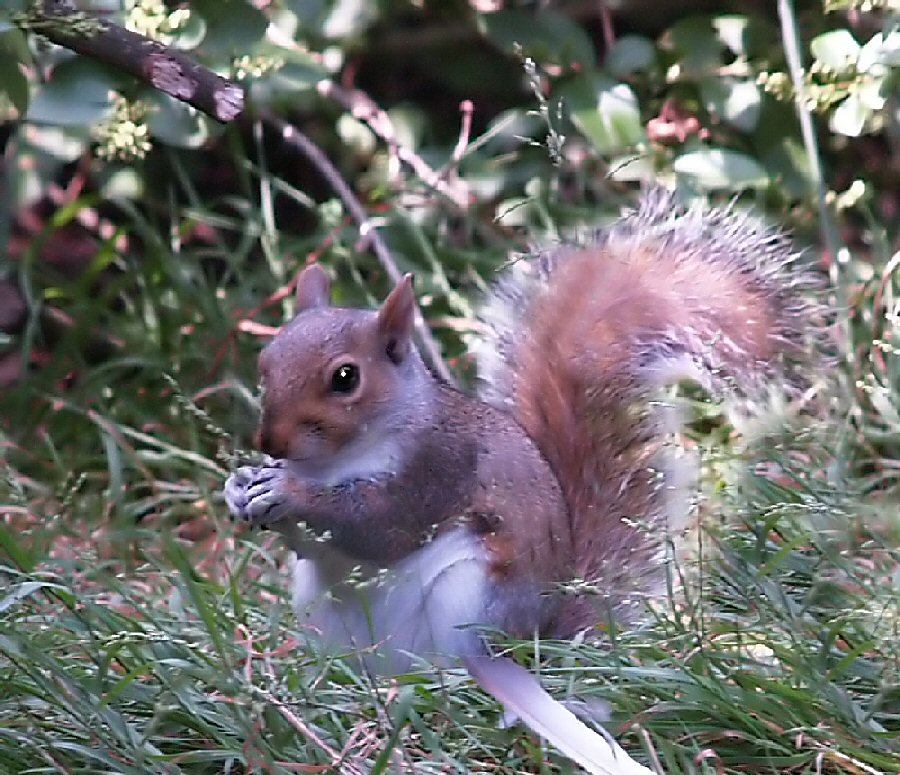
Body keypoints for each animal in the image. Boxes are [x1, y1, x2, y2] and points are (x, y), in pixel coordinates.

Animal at [225, 189, 816, 775]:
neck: (337, 460)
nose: (271, 441)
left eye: (345, 378)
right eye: (266, 360)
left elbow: (380, 527)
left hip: (469, 600)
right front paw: (241, 486)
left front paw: (289, 494)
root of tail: (542, 642)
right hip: (322, 613)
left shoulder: (438, 468)